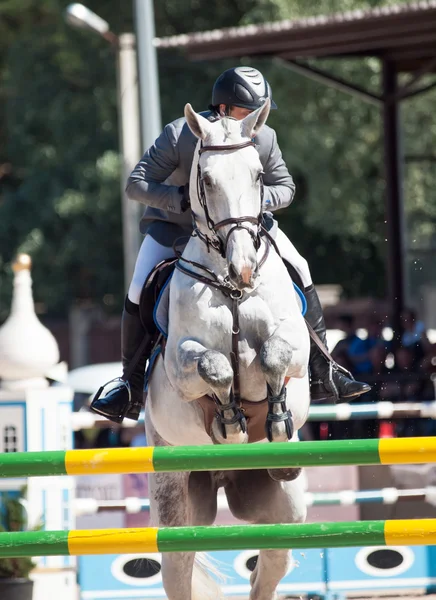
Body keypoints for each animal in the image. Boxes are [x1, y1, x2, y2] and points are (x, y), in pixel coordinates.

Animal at [146, 99, 310, 600]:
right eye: (206, 179)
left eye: (258, 175)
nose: (243, 269)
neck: (231, 288)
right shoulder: (179, 367)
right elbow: (215, 365)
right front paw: (232, 422)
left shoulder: (296, 347)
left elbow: (273, 355)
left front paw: (274, 420)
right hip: (176, 502)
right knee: (178, 569)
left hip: (284, 510)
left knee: (269, 566)